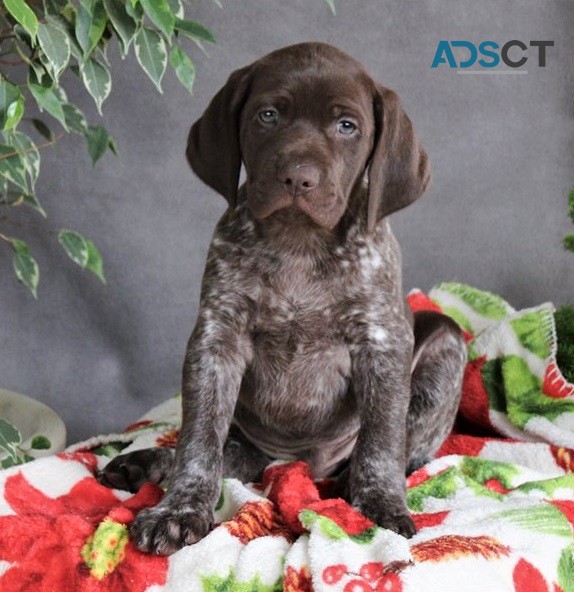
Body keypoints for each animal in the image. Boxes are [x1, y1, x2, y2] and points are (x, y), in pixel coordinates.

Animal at [100, 42, 468, 556]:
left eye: (347, 126)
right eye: (268, 115)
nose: (298, 178)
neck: (299, 240)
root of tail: (298, 465)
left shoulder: (381, 340)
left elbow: (382, 437)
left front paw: (381, 503)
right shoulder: (217, 338)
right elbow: (199, 440)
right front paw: (179, 509)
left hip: (444, 338)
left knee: (398, 444)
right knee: (224, 454)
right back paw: (147, 463)